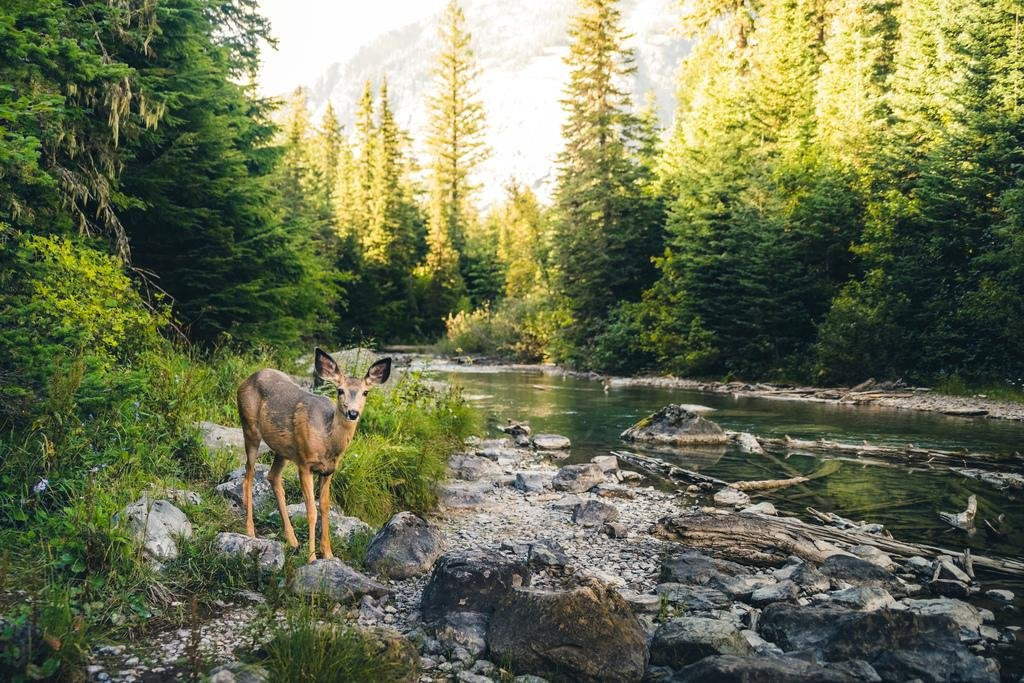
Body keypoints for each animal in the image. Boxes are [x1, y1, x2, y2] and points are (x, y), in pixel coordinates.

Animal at [236, 348, 392, 562]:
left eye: (365, 392)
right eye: (340, 390)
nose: (352, 413)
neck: (328, 441)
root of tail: (246, 380)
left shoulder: (328, 470)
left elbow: (325, 507)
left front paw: (328, 553)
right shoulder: (305, 464)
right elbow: (311, 511)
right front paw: (311, 558)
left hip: (283, 450)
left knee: (272, 476)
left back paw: (292, 540)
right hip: (249, 427)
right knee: (249, 475)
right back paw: (250, 531)